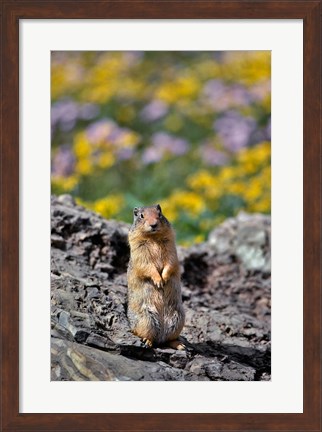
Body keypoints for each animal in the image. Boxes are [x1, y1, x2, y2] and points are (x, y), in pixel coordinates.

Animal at [127, 204, 185, 350]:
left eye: (159, 214)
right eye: (141, 216)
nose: (153, 224)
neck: (153, 237)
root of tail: (160, 338)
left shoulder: (170, 246)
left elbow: (170, 261)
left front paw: (164, 278)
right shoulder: (139, 249)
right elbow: (147, 265)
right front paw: (159, 281)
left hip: (178, 319)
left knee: (169, 339)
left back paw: (180, 345)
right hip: (146, 319)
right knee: (144, 334)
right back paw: (147, 341)